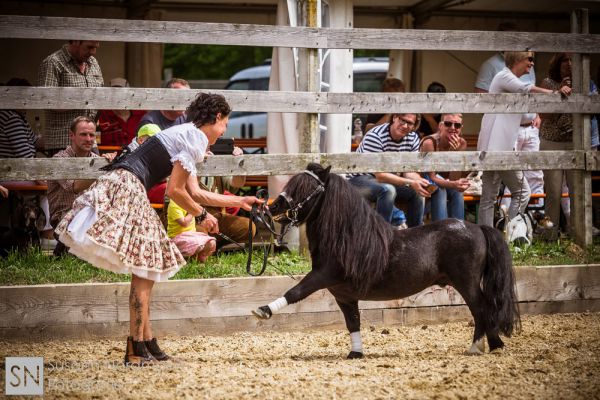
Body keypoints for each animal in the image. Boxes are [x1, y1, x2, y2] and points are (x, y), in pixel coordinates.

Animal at [253, 162, 520, 360]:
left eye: (305, 188)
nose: (272, 207)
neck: (347, 237)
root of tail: (478, 227)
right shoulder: (344, 295)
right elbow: (353, 321)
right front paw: (356, 353)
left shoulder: (322, 276)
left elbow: (296, 291)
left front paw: (263, 310)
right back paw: (494, 344)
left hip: (466, 282)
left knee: (481, 308)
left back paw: (478, 347)